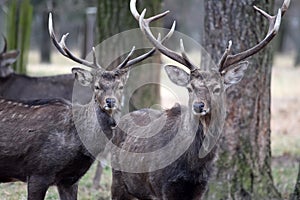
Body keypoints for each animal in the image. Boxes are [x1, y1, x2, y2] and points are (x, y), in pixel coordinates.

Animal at [110, 0, 288, 199]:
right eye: (190, 88)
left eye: (217, 88)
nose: (198, 105)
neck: (192, 167)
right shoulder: (161, 186)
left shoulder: (201, 187)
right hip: (118, 180)